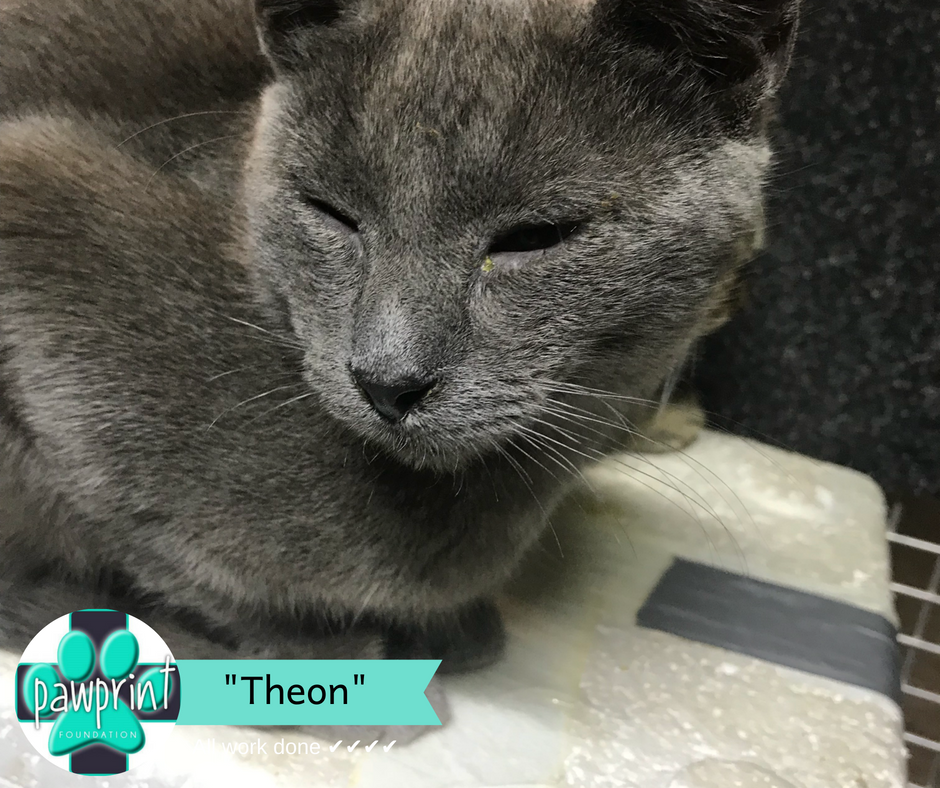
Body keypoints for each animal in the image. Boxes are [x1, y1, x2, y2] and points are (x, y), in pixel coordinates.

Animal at [0, 0, 799, 727]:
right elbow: (172, 555)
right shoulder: (39, 199)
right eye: (330, 212)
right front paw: (336, 668)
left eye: (535, 236)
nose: (388, 379)